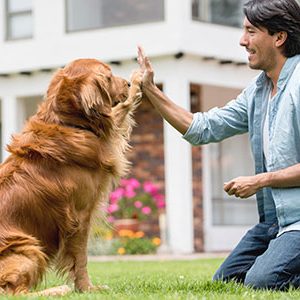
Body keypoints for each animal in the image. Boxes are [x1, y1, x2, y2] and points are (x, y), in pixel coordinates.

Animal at [0, 58, 142, 296]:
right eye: (109, 77)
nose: (127, 84)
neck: (67, 123)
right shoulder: (80, 216)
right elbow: (81, 258)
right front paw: (87, 288)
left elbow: (118, 112)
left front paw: (138, 82)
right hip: (27, 248)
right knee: (15, 292)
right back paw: (57, 290)